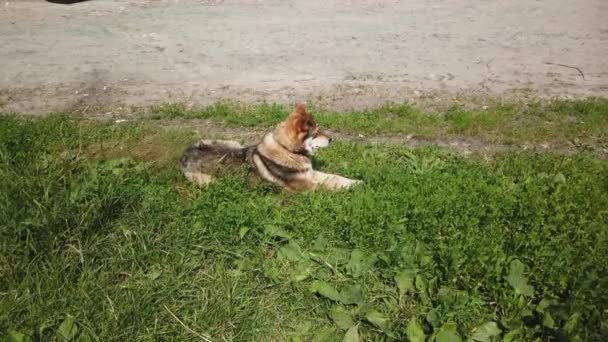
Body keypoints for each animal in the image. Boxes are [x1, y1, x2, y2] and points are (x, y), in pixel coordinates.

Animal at [178, 103, 364, 191]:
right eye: (316, 133)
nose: (331, 139)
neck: (287, 150)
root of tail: (184, 155)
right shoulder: (305, 185)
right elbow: (328, 186)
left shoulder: (310, 174)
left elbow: (335, 177)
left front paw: (355, 182)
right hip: (208, 181)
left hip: (234, 143)